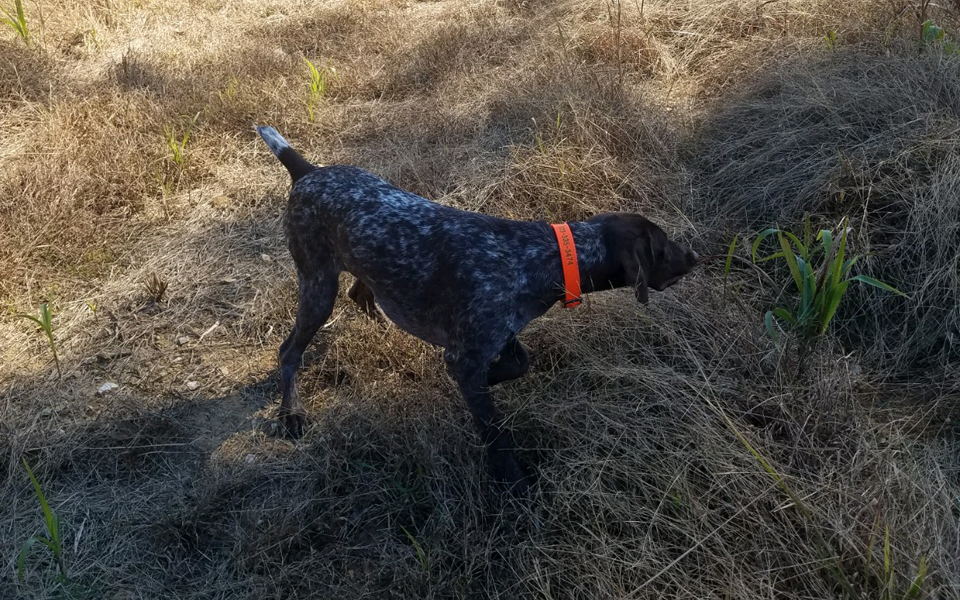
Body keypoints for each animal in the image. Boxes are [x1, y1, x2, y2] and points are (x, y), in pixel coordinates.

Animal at [253, 124, 696, 494]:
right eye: (663, 246)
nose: (694, 255)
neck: (545, 257)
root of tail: (308, 172)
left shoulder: (498, 334)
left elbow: (519, 362)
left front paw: (496, 376)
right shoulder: (467, 354)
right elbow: (495, 431)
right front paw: (515, 484)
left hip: (358, 261)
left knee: (361, 293)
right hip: (317, 285)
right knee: (289, 350)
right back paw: (291, 413)